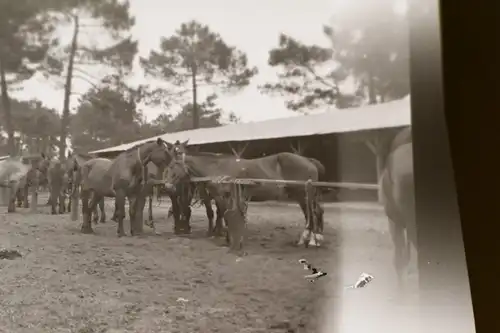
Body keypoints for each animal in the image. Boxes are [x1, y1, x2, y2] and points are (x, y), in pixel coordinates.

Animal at [161, 147, 324, 246]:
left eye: (173, 166)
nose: (167, 186)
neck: (217, 168)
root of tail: (308, 160)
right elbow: (224, 214)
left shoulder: (223, 196)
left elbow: (225, 215)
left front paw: (227, 237)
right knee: (315, 212)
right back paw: (313, 239)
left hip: (303, 195)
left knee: (311, 214)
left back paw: (307, 240)